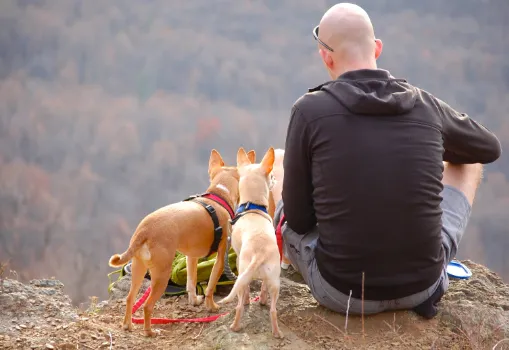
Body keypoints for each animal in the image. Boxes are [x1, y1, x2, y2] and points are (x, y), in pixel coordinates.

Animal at [107, 150, 238, 336]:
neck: (219, 196)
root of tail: (144, 230)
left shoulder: (191, 257)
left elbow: (191, 281)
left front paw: (194, 300)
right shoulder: (221, 257)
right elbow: (211, 285)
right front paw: (211, 306)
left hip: (139, 268)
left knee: (130, 298)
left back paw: (128, 326)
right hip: (161, 274)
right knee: (147, 306)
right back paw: (150, 332)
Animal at [217, 146, 284, 338]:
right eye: (271, 176)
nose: (275, 179)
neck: (252, 206)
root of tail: (259, 253)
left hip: (243, 273)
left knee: (240, 303)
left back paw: (235, 326)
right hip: (275, 281)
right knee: (273, 309)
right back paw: (276, 331)